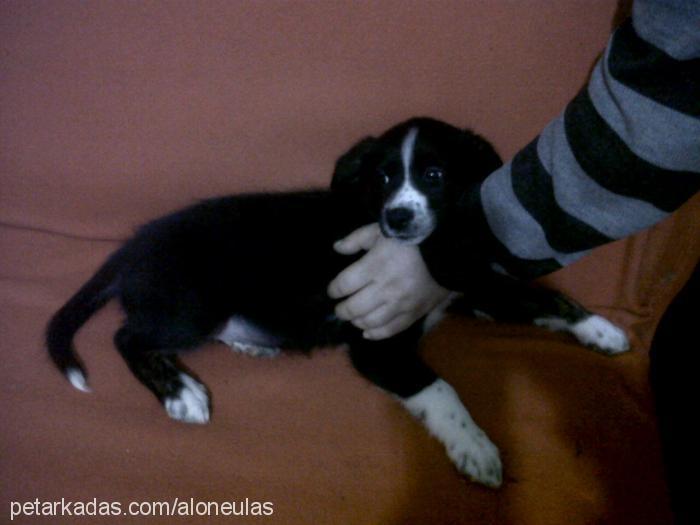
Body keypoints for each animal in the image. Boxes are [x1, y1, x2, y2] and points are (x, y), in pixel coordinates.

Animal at [45, 116, 628, 486]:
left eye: (435, 176)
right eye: (384, 176)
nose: (398, 217)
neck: (422, 254)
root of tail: (130, 249)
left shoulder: (467, 287)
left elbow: (541, 297)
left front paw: (600, 330)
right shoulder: (377, 345)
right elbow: (441, 389)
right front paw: (476, 448)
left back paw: (252, 345)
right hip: (192, 305)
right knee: (128, 335)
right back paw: (180, 392)